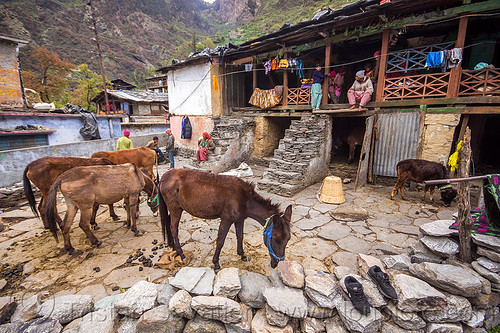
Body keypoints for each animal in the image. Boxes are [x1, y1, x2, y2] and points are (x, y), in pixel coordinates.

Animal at [158, 169, 292, 270]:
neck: (245, 200)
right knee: (174, 229)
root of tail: (164, 176)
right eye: (274, 238)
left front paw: (242, 255)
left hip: (174, 209)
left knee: (169, 225)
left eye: (288, 239)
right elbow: (220, 241)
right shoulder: (226, 220)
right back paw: (181, 255)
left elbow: (240, 237)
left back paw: (173, 248)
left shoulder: (240, 220)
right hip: (176, 209)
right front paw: (216, 263)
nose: (277, 264)